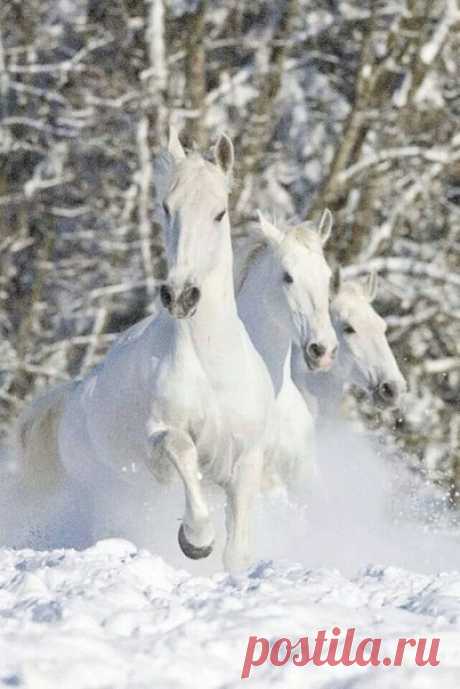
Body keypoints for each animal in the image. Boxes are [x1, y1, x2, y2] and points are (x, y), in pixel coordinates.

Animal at [16, 130, 276, 568]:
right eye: (167, 208)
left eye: (219, 213)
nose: (181, 296)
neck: (212, 368)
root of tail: (75, 395)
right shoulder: (162, 443)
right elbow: (182, 454)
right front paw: (195, 540)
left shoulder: (245, 459)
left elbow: (238, 550)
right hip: (107, 495)